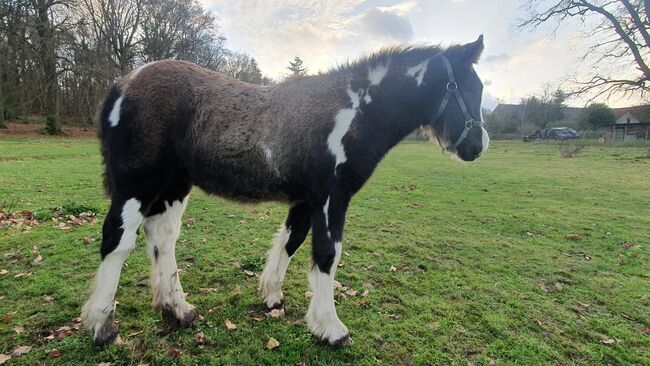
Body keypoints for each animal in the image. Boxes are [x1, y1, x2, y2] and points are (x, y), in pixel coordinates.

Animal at [79, 35, 486, 348]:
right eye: (470, 88)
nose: (478, 146)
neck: (351, 112)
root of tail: (124, 82)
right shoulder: (332, 198)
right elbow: (327, 255)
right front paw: (330, 328)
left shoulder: (307, 199)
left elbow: (291, 241)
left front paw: (272, 297)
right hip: (137, 185)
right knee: (117, 240)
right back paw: (102, 326)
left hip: (174, 186)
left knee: (162, 237)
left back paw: (178, 309)